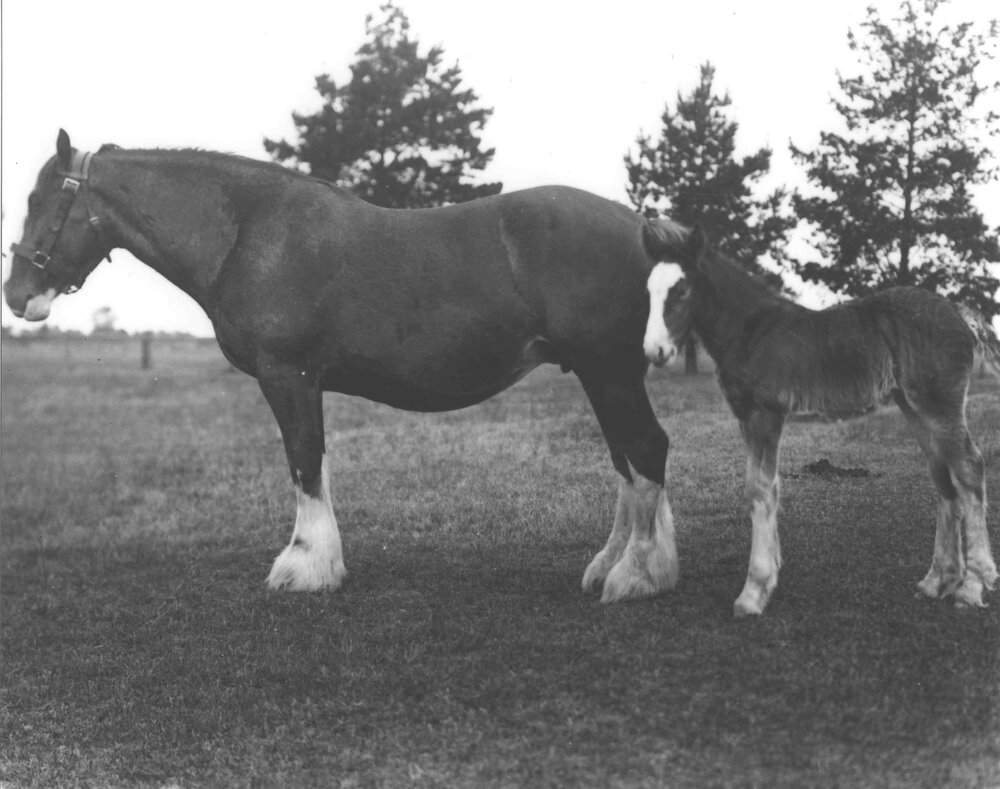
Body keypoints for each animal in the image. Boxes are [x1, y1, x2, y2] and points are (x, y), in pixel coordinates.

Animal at [5, 129, 679, 603]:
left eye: (40, 200)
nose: (16, 294)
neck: (248, 232)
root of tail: (638, 225)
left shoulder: (288, 376)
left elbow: (304, 463)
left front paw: (305, 566)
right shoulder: (304, 383)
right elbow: (318, 466)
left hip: (607, 371)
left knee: (644, 449)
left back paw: (635, 577)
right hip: (604, 373)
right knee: (630, 460)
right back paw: (624, 567)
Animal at [641, 219, 1000, 616]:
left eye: (682, 289)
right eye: (649, 289)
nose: (654, 351)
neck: (752, 330)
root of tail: (958, 312)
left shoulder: (765, 415)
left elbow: (759, 491)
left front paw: (754, 591)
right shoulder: (747, 419)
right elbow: (769, 488)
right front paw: (770, 576)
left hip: (939, 406)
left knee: (969, 469)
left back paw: (972, 587)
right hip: (915, 407)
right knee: (942, 476)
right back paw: (938, 581)